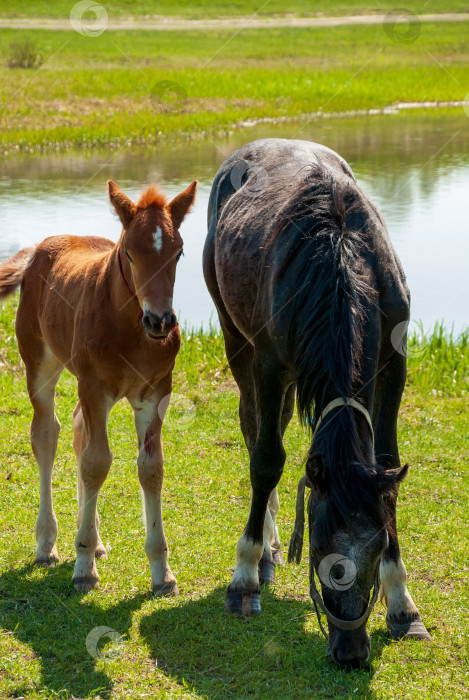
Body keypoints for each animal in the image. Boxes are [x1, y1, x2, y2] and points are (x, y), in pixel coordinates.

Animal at [0, 178, 197, 592]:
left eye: (179, 254)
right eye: (130, 254)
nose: (160, 320)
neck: (132, 331)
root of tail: (38, 249)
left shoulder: (156, 392)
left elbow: (151, 468)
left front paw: (162, 573)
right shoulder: (94, 387)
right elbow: (96, 462)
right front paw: (83, 566)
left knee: (77, 429)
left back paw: (95, 538)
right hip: (39, 362)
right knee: (46, 433)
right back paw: (48, 544)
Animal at [203, 138, 430, 668]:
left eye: (378, 545)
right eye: (322, 553)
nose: (351, 651)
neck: (341, 258)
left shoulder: (395, 365)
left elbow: (386, 466)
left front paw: (402, 604)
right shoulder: (267, 363)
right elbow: (267, 460)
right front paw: (244, 576)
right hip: (236, 340)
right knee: (254, 430)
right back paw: (265, 551)